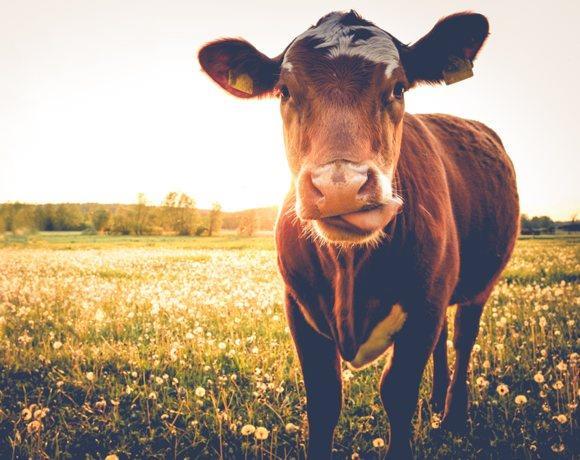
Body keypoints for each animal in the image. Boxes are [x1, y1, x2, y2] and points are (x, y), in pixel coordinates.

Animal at [197, 9, 520, 458]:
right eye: (284, 91)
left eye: (399, 87)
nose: (340, 186)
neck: (350, 269)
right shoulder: (299, 308)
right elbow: (324, 399)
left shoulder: (424, 306)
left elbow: (398, 393)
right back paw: (436, 402)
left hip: (478, 285)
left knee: (462, 339)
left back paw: (453, 415)